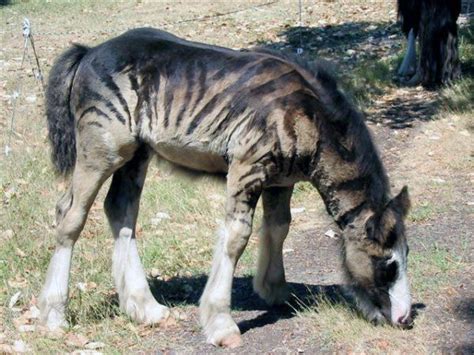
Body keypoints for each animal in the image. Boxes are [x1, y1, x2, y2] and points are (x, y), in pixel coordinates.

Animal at [39, 27, 412, 348]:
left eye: (406, 256)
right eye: (387, 264)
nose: (405, 319)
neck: (308, 114)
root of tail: (88, 52)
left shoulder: (281, 181)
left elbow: (279, 227)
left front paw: (275, 290)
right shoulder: (247, 167)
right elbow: (236, 237)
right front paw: (221, 323)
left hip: (136, 154)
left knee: (120, 210)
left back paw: (145, 308)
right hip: (101, 151)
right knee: (70, 215)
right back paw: (54, 315)